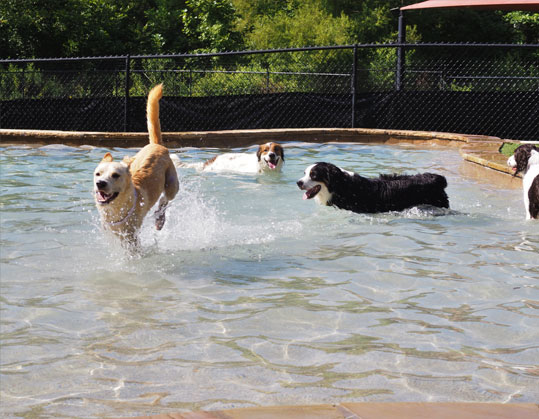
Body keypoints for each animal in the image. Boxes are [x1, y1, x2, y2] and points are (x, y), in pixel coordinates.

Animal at [92, 83, 177, 244]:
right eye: (98, 174)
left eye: (115, 175)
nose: (100, 183)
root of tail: (156, 145)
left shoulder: (131, 237)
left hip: (172, 184)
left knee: (164, 200)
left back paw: (160, 220)